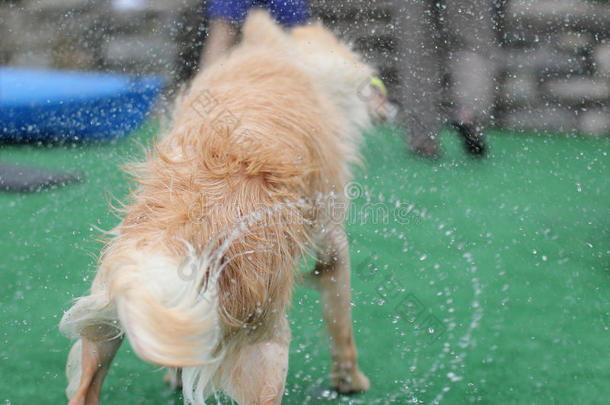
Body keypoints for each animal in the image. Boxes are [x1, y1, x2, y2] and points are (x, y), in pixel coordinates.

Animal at [59, 11, 388, 402]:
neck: (287, 56)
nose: (388, 108)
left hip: (106, 323)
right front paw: (350, 380)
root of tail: (184, 240)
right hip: (266, 353)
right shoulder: (333, 240)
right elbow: (342, 325)